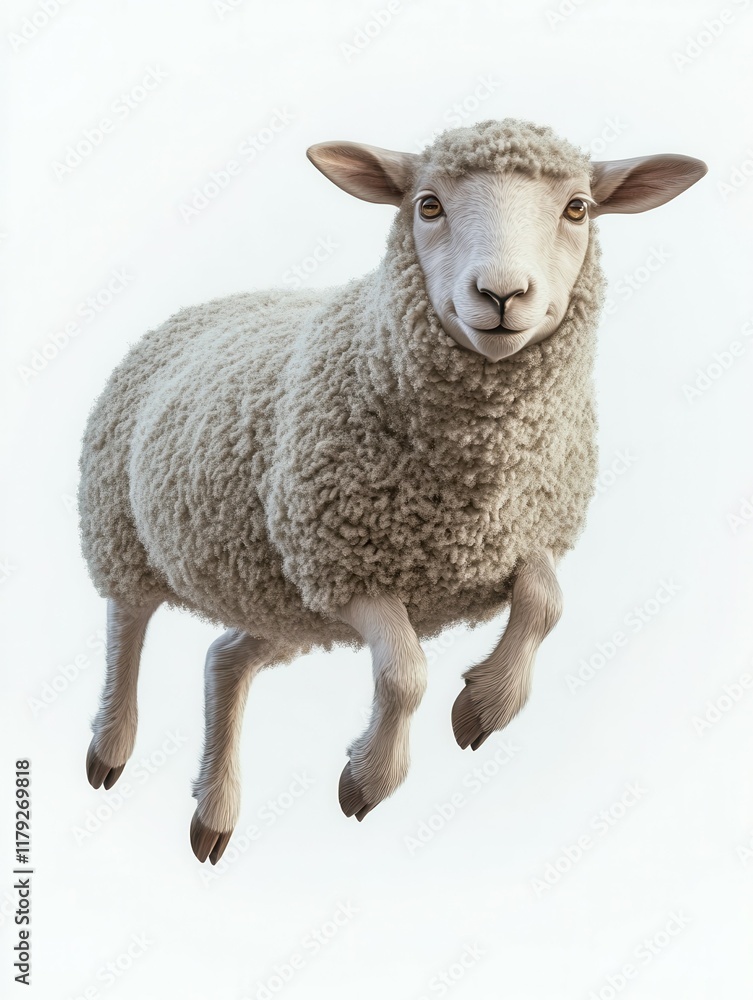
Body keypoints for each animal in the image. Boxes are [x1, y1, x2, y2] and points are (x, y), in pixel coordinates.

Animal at [78, 118, 707, 864]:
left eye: (578, 208)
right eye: (427, 205)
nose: (501, 295)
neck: (472, 486)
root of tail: (199, 308)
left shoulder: (517, 537)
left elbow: (545, 602)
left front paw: (484, 705)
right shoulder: (345, 568)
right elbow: (405, 674)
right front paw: (369, 780)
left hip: (281, 602)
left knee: (223, 660)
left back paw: (215, 811)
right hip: (123, 532)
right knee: (126, 627)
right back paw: (111, 746)